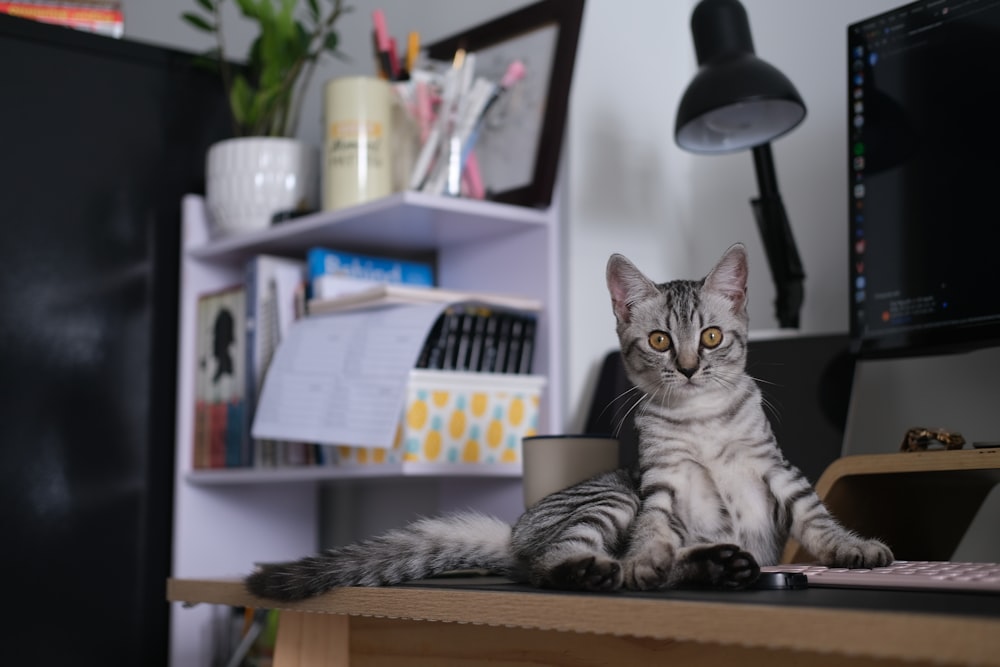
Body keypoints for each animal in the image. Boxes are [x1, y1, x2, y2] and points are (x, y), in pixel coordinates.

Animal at [244, 241, 892, 600]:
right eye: (659, 340)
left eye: (710, 337)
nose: (686, 369)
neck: (701, 422)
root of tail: (513, 532)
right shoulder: (658, 487)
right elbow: (653, 534)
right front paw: (648, 559)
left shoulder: (776, 471)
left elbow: (817, 519)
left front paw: (853, 549)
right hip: (609, 501)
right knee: (554, 567)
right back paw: (612, 571)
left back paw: (718, 565)